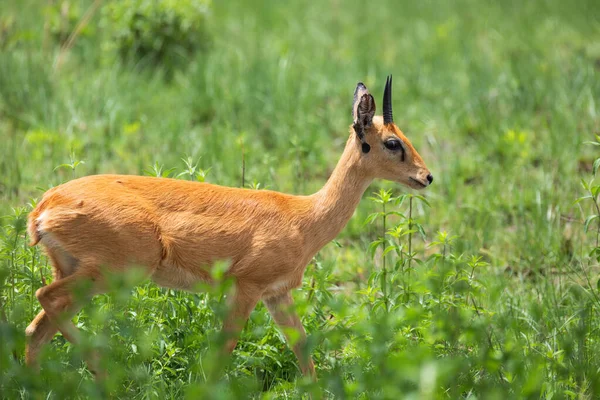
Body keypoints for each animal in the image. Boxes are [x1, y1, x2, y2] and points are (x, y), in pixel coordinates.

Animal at [25, 75, 434, 378]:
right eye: (392, 142)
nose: (426, 176)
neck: (303, 217)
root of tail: (44, 207)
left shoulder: (277, 294)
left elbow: (302, 347)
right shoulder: (246, 288)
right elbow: (225, 348)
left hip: (78, 271)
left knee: (37, 327)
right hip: (114, 272)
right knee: (46, 298)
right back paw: (105, 373)